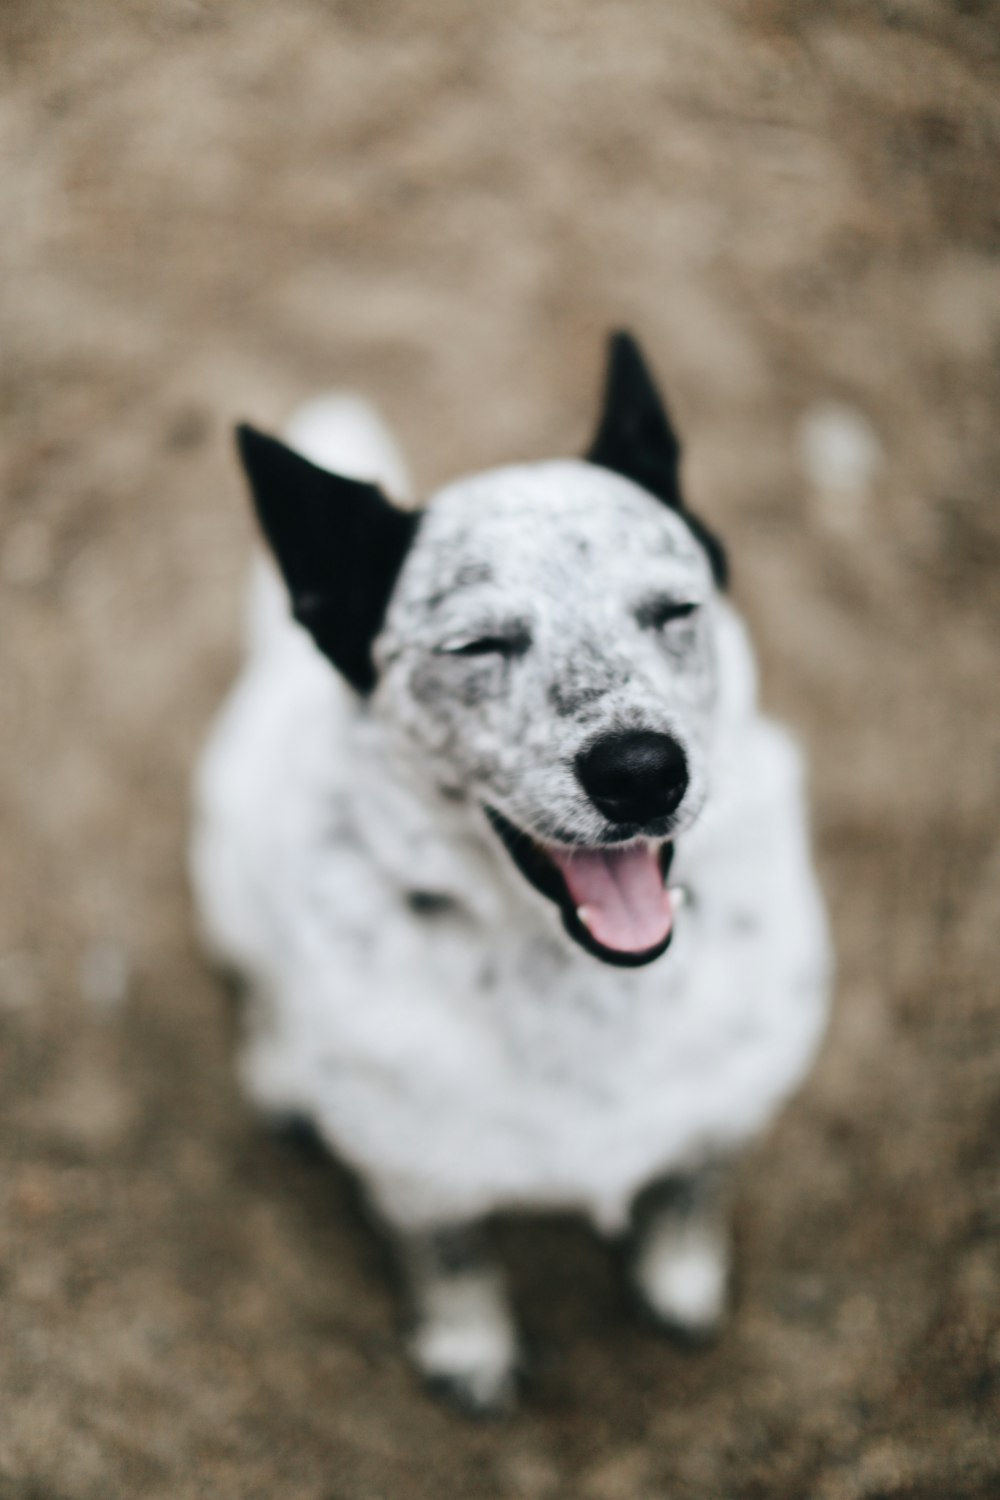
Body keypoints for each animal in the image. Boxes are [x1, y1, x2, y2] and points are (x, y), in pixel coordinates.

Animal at [191, 334, 833, 1410]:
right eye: (477, 644)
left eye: (674, 611)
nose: (641, 770)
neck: (576, 988)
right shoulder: (411, 1169)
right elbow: (450, 1257)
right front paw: (468, 1347)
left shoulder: (732, 1107)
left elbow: (692, 1190)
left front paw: (680, 1275)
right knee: (261, 979)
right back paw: (281, 1068)